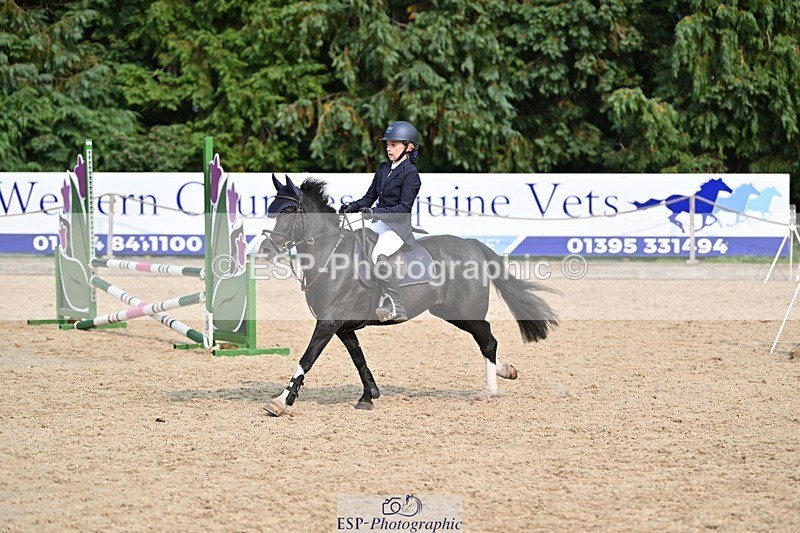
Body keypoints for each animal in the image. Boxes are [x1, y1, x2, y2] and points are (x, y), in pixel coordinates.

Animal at [256, 175, 558, 417]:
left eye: (290, 211)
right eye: (272, 212)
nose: (265, 251)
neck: (331, 254)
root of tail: (471, 244)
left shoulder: (328, 323)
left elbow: (306, 359)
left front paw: (280, 401)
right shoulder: (341, 326)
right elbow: (359, 358)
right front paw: (369, 395)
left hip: (465, 311)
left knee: (488, 341)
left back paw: (489, 391)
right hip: (449, 312)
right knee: (486, 337)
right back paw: (505, 370)